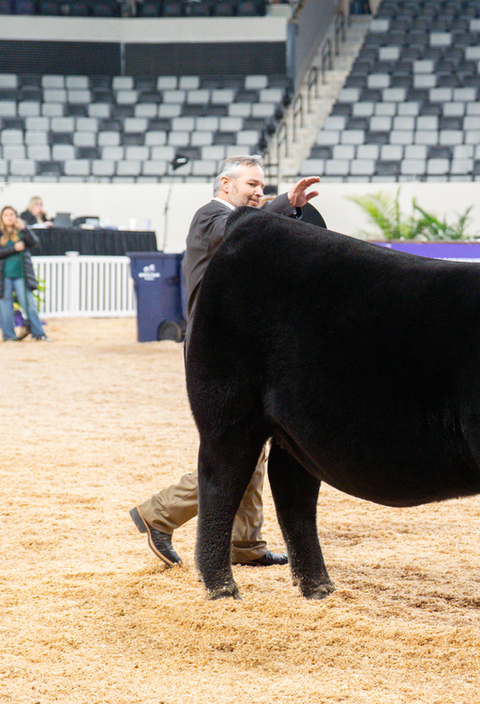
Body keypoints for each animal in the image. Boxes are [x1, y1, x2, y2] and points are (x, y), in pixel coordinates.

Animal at [185, 206, 480, 600]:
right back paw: (221, 587)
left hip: (293, 429)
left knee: (292, 493)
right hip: (228, 409)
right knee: (221, 482)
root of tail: (250, 219)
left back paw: (316, 586)